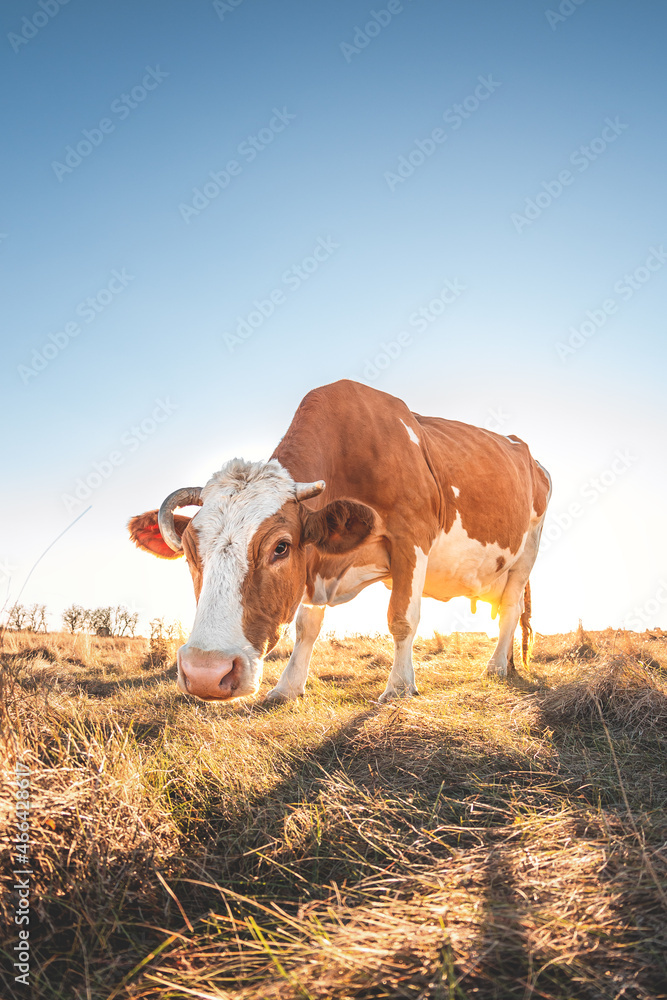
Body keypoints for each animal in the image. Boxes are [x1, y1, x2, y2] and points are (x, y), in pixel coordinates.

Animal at [126, 382, 552, 704]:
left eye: (280, 547)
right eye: (190, 553)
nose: (205, 673)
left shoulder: (411, 537)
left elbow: (402, 618)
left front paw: (399, 688)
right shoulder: (314, 561)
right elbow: (306, 625)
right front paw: (287, 687)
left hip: (527, 550)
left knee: (510, 608)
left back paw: (495, 667)